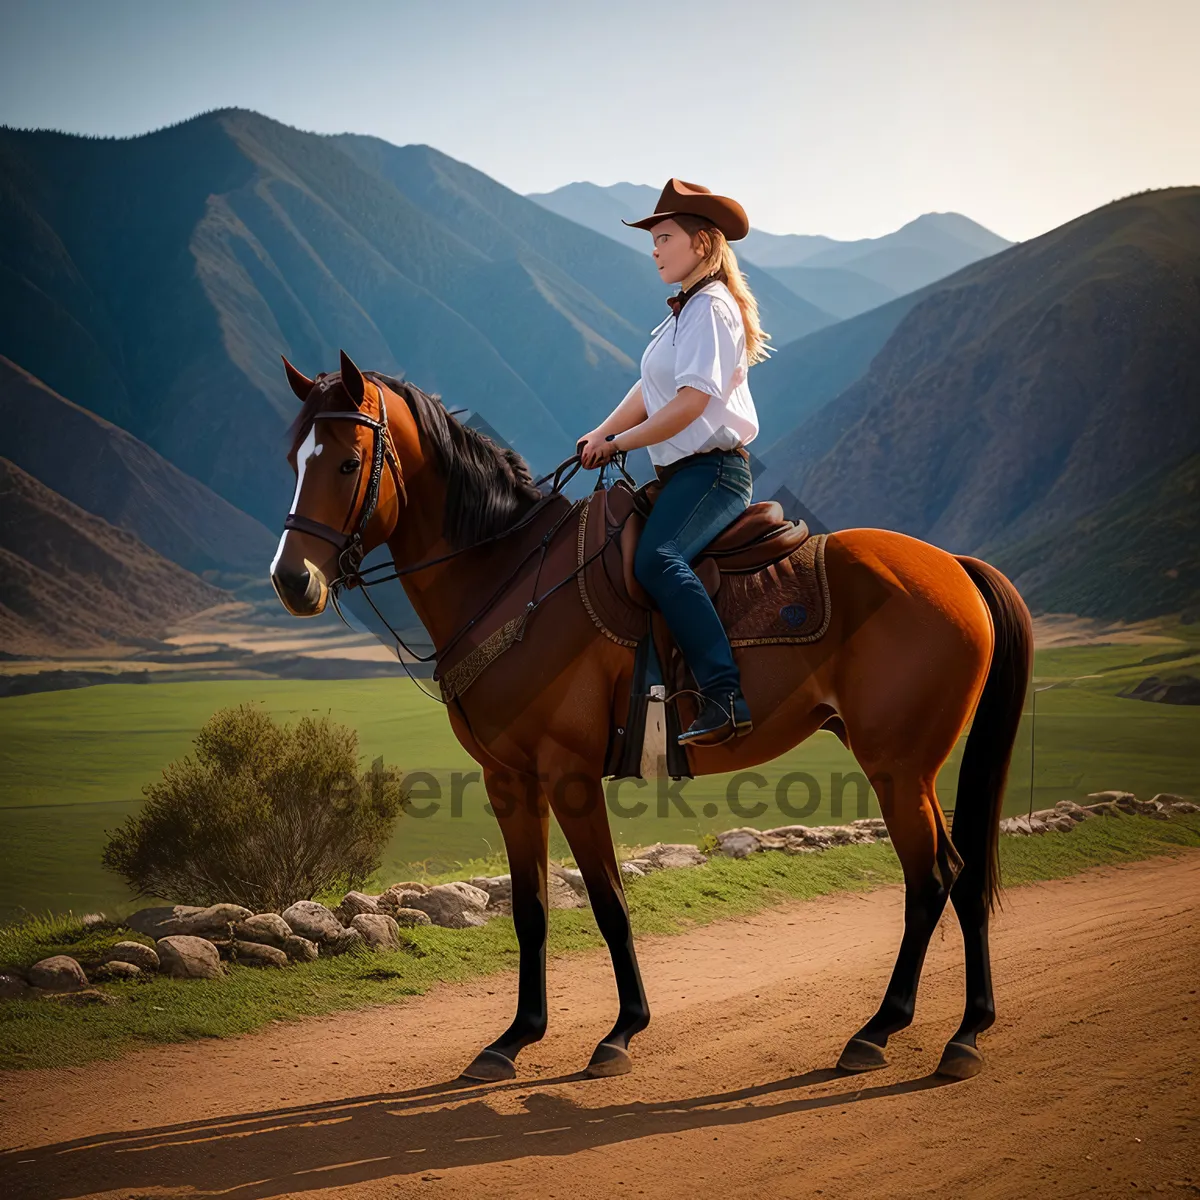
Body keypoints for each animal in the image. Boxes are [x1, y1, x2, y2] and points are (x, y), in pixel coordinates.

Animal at [270, 350, 1032, 1089]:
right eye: (292, 461)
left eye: (346, 463)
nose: (292, 580)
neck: (507, 576)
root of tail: (954, 565)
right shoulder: (508, 779)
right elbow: (530, 910)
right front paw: (514, 1039)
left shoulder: (569, 773)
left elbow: (607, 902)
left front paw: (620, 1033)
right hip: (908, 770)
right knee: (960, 874)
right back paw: (966, 1032)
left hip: (898, 768)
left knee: (931, 879)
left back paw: (881, 1030)